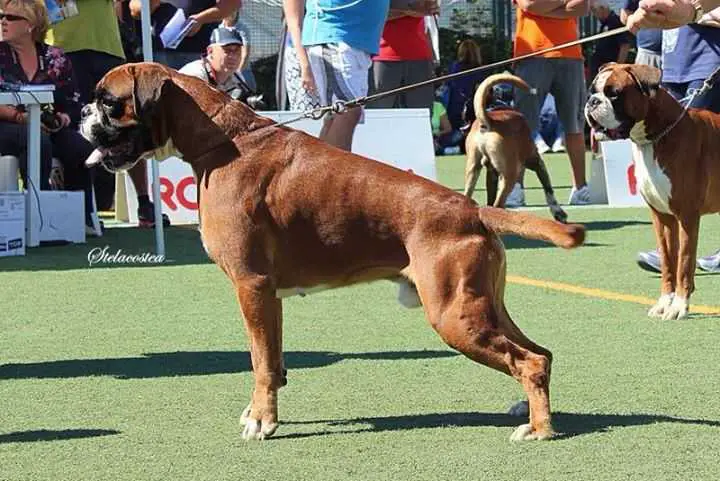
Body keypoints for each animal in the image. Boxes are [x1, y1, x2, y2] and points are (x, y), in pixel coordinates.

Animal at [464, 72, 572, 222]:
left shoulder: (491, 175)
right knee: (498, 204)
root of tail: (488, 122)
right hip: (510, 175)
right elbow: (548, 189)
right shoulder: (537, 163)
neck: (495, 105)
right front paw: (558, 212)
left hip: (472, 171)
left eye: (466, 106)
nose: (462, 114)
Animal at [584, 62, 720, 318]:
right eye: (591, 91)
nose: (592, 102)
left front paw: (679, 306)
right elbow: (668, 261)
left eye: (614, 93)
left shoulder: (687, 216)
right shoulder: (662, 217)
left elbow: (684, 262)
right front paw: (665, 302)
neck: (656, 138)